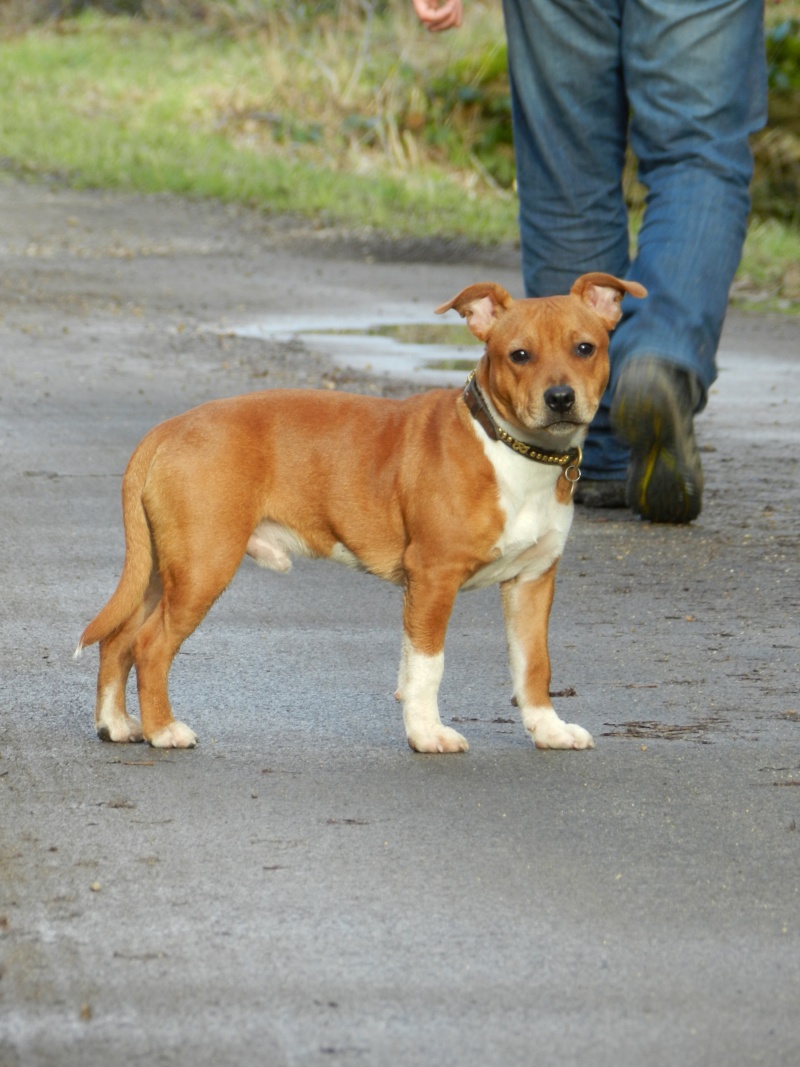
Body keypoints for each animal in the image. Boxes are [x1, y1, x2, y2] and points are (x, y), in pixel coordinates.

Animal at [75, 271, 648, 755]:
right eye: (519, 355)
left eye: (585, 348)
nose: (560, 398)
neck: (509, 449)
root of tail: (168, 428)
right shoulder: (433, 577)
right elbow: (427, 667)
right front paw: (427, 734)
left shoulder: (531, 581)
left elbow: (533, 665)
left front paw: (548, 729)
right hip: (202, 566)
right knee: (150, 645)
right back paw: (163, 730)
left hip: (161, 570)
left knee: (118, 640)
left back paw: (117, 724)